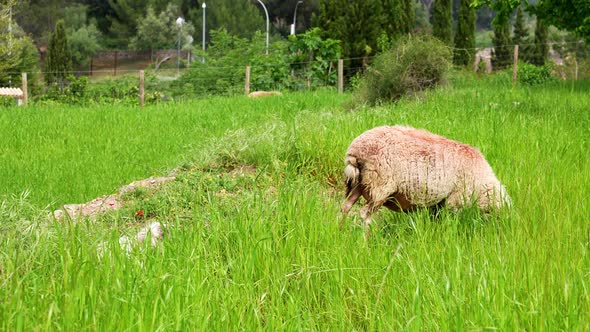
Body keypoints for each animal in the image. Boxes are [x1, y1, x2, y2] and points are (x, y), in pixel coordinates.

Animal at [342, 124, 512, 236]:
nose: (499, 234)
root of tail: (355, 150)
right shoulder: (454, 201)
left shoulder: (438, 205)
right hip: (379, 187)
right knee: (365, 215)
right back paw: (365, 240)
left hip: (360, 185)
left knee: (345, 208)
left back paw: (340, 231)